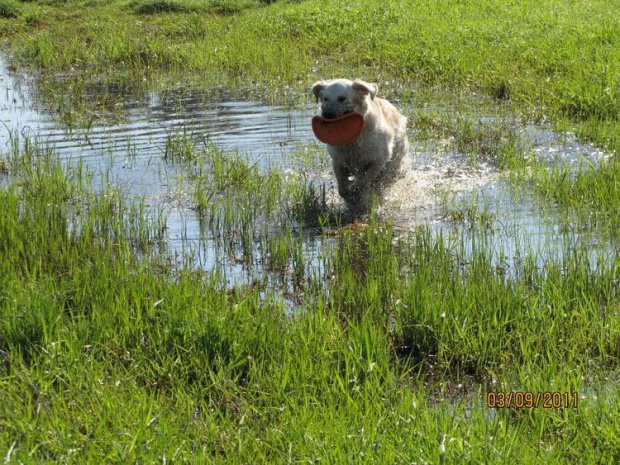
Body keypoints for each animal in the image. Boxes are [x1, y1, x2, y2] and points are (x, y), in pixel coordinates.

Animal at [312, 78, 410, 212]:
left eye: (342, 98)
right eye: (325, 98)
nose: (326, 114)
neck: (353, 142)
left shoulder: (380, 158)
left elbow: (364, 179)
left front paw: (355, 191)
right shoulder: (339, 161)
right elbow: (342, 187)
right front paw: (350, 199)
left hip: (394, 165)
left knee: (381, 184)